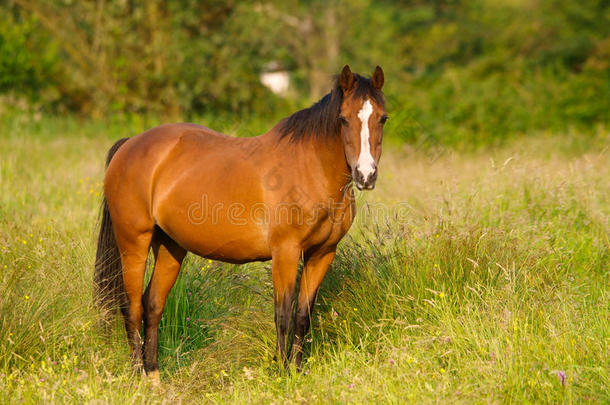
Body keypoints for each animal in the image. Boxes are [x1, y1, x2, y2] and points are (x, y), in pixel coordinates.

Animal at [92, 64, 388, 382]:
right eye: (343, 119)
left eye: (382, 118)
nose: (365, 175)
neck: (309, 169)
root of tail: (130, 145)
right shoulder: (285, 252)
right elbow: (283, 315)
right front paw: (281, 374)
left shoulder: (322, 254)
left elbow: (302, 316)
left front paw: (296, 372)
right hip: (134, 243)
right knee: (131, 307)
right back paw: (138, 376)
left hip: (170, 247)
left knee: (153, 305)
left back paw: (154, 376)